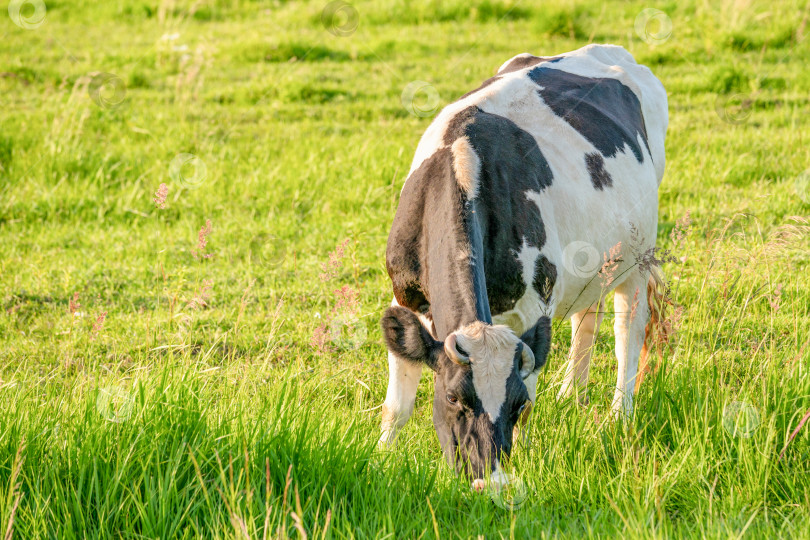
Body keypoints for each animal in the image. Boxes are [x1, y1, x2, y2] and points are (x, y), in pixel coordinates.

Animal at [378, 43, 668, 490]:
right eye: (453, 397)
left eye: (513, 404)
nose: (489, 481)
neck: (461, 162)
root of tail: (608, 48)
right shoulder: (404, 295)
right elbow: (397, 403)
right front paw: (381, 456)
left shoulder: (533, 307)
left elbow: (532, 399)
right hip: (592, 260)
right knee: (587, 317)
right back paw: (571, 394)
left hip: (638, 258)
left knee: (628, 333)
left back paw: (619, 416)